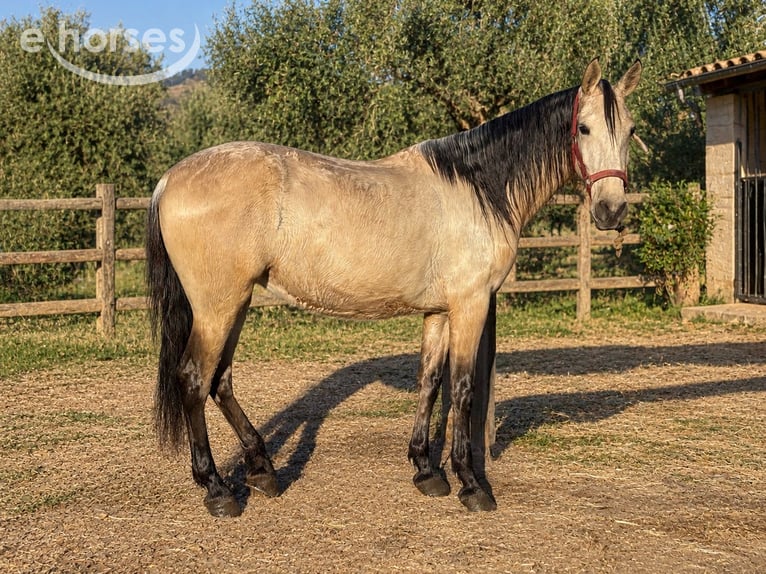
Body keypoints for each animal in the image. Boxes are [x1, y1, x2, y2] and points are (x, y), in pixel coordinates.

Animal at [146, 58, 643, 517]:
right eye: (583, 128)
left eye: (630, 130)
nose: (611, 211)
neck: (478, 187)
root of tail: (169, 180)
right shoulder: (471, 305)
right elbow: (462, 388)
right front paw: (470, 483)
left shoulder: (440, 311)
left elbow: (430, 381)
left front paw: (426, 470)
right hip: (217, 307)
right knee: (194, 379)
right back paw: (217, 490)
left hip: (237, 302)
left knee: (221, 380)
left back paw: (262, 469)